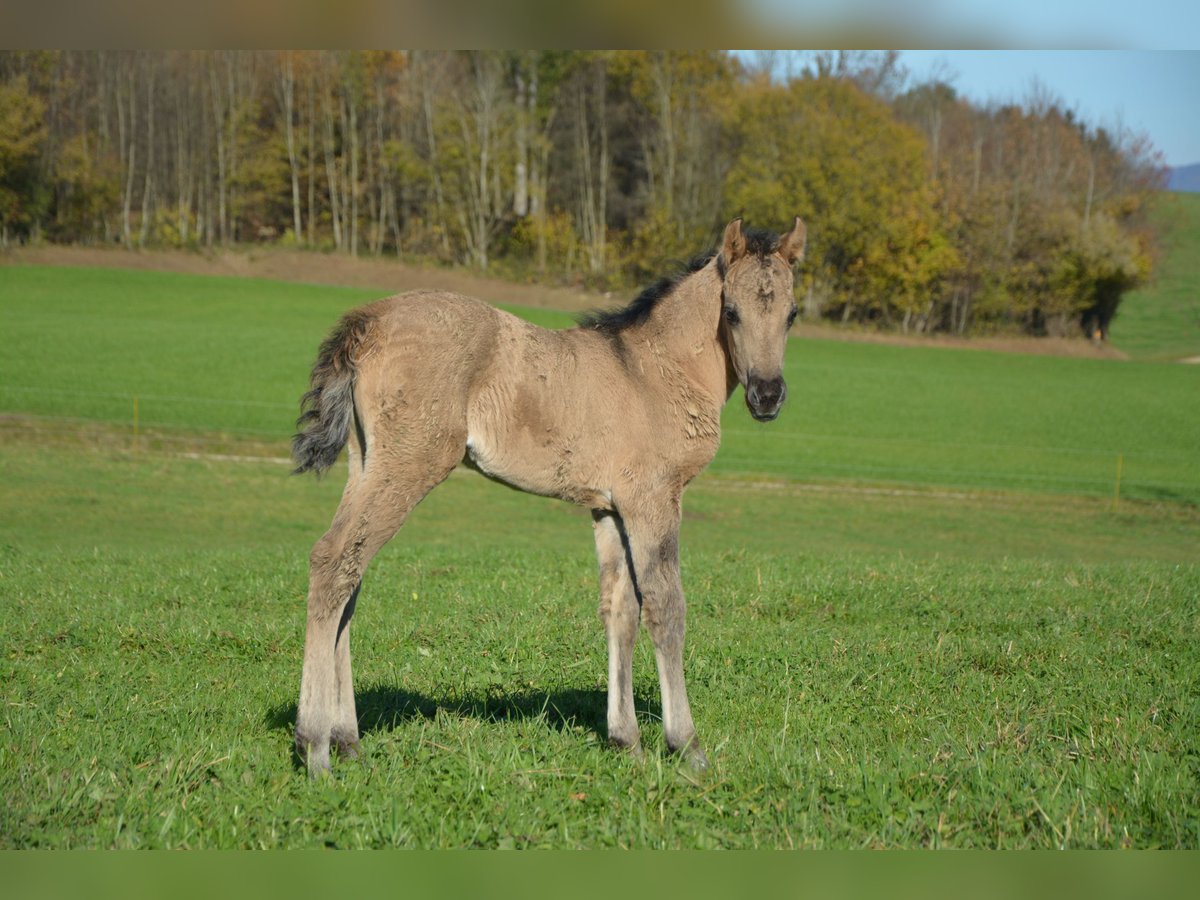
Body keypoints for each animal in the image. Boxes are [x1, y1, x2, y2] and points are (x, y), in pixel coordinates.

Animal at [292, 216, 806, 776]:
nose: (768, 396)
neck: (654, 370)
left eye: (792, 314)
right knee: (334, 560)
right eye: (730, 312)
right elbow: (666, 607)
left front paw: (626, 740)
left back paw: (347, 739)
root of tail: (370, 320)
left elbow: (620, 611)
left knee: (349, 576)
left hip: (365, 462)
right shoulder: (653, 498)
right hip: (408, 465)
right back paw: (314, 746)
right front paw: (686, 746)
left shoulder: (609, 507)